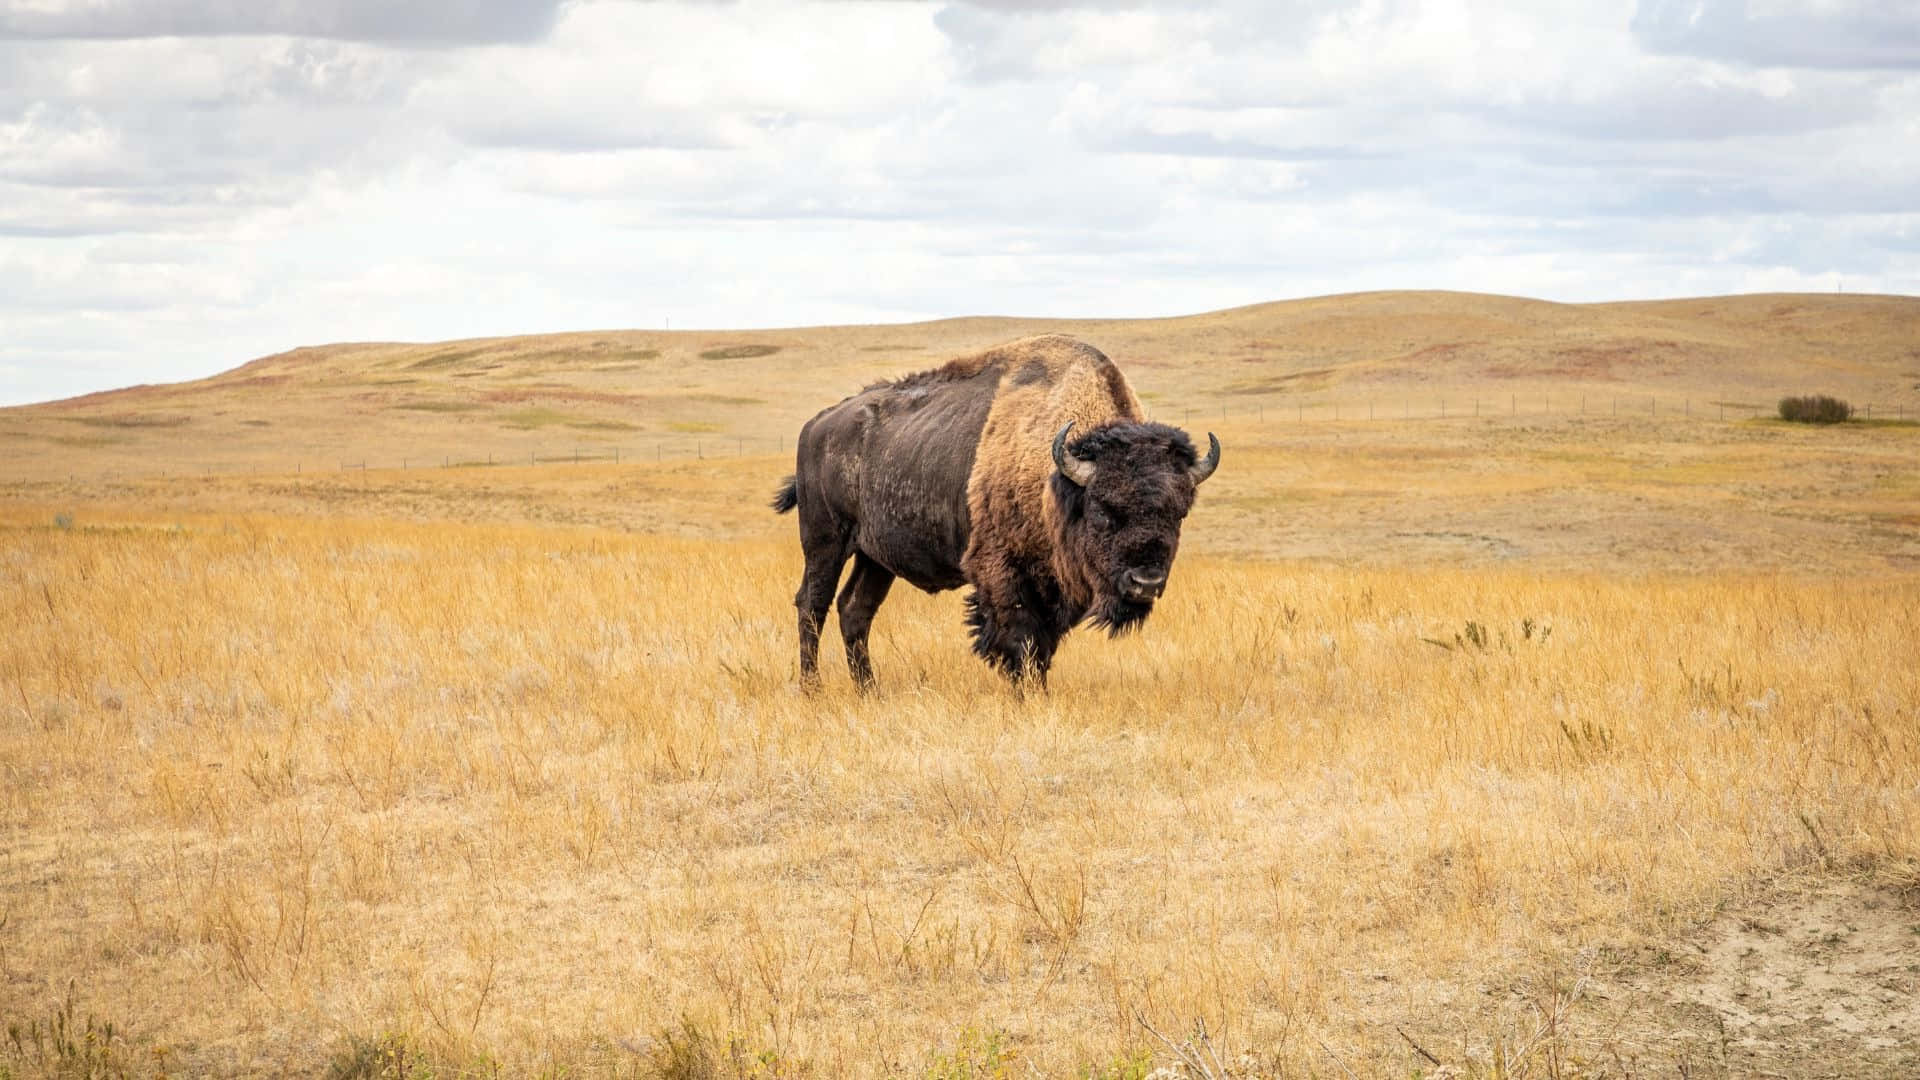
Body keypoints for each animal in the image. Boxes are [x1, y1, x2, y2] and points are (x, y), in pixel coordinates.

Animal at [764, 334, 1213, 687]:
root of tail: (816, 425)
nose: (1145, 582)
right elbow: (1021, 641)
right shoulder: (1003, 573)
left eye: (1179, 513)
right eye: (1103, 510)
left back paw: (869, 691)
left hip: (876, 558)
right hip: (825, 542)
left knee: (855, 609)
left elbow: (1043, 647)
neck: (1057, 478)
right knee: (812, 605)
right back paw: (813, 689)